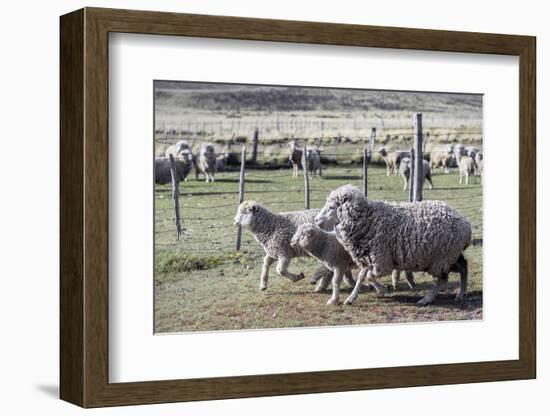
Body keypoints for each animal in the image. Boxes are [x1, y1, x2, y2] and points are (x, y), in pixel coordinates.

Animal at [316, 185, 472, 306]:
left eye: (331, 207)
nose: (317, 220)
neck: (368, 220)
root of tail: (465, 225)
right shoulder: (368, 257)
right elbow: (361, 277)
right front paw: (351, 298)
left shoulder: (381, 260)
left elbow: (369, 276)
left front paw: (384, 289)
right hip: (450, 256)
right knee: (463, 267)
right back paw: (461, 293)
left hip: (442, 258)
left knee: (443, 280)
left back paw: (427, 299)